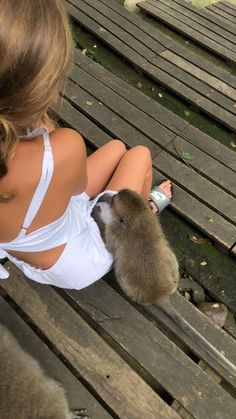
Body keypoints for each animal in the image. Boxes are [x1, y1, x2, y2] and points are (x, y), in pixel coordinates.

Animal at [91, 190, 236, 378]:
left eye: (115, 200)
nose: (112, 195)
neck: (138, 220)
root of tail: (159, 295)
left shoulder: (114, 232)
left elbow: (107, 243)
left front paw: (96, 213)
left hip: (128, 285)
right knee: (169, 253)